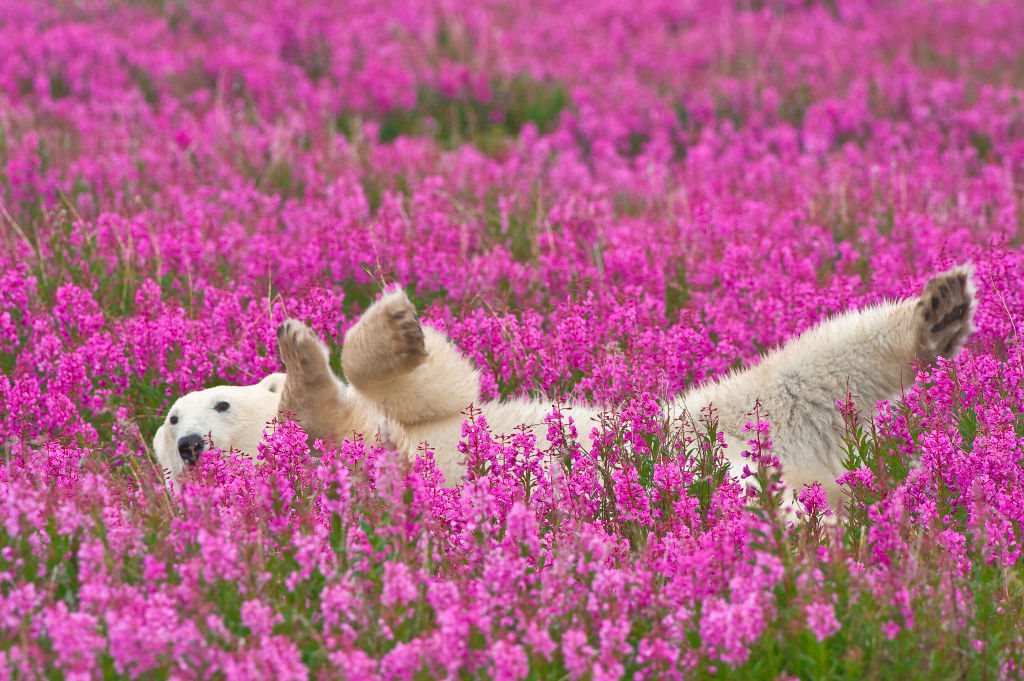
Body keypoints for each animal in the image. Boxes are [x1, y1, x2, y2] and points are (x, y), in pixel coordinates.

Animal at [155, 266, 976, 513]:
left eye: (215, 402)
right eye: (170, 422)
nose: (190, 443)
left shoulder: (428, 419)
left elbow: (442, 388)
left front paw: (380, 328)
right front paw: (303, 367)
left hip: (717, 416)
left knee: (811, 366)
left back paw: (939, 309)